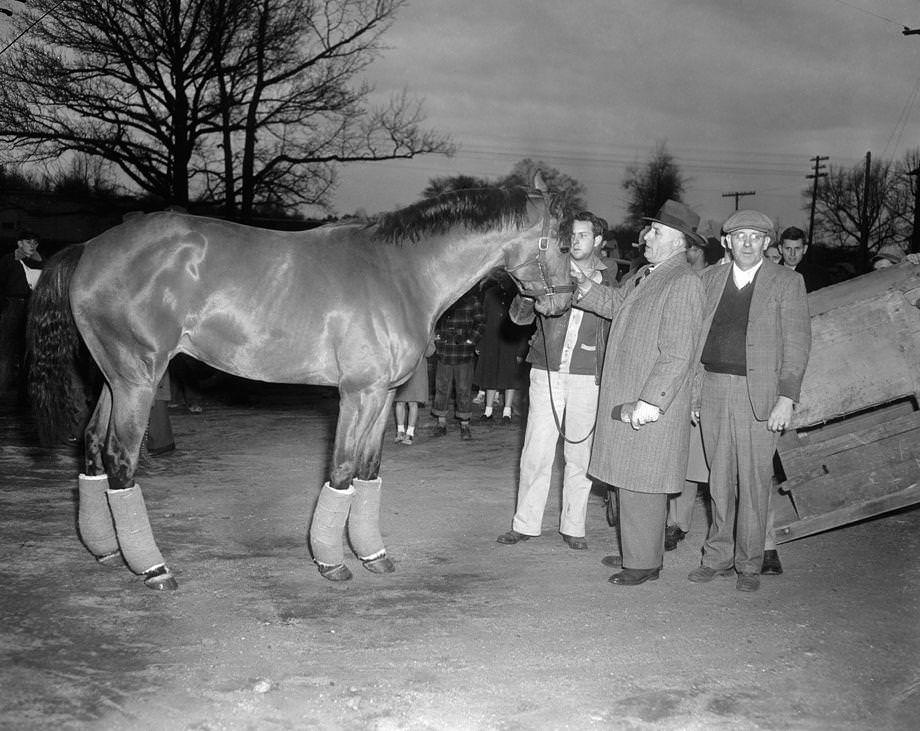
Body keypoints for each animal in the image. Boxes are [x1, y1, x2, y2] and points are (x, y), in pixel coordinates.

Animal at [28, 174, 572, 592]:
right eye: (565, 242)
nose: (563, 302)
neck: (400, 274)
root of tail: (89, 248)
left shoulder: (384, 395)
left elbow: (369, 470)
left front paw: (372, 555)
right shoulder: (357, 393)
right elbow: (343, 469)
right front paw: (331, 561)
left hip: (113, 378)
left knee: (92, 445)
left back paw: (106, 550)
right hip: (138, 378)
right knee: (119, 458)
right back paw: (154, 568)